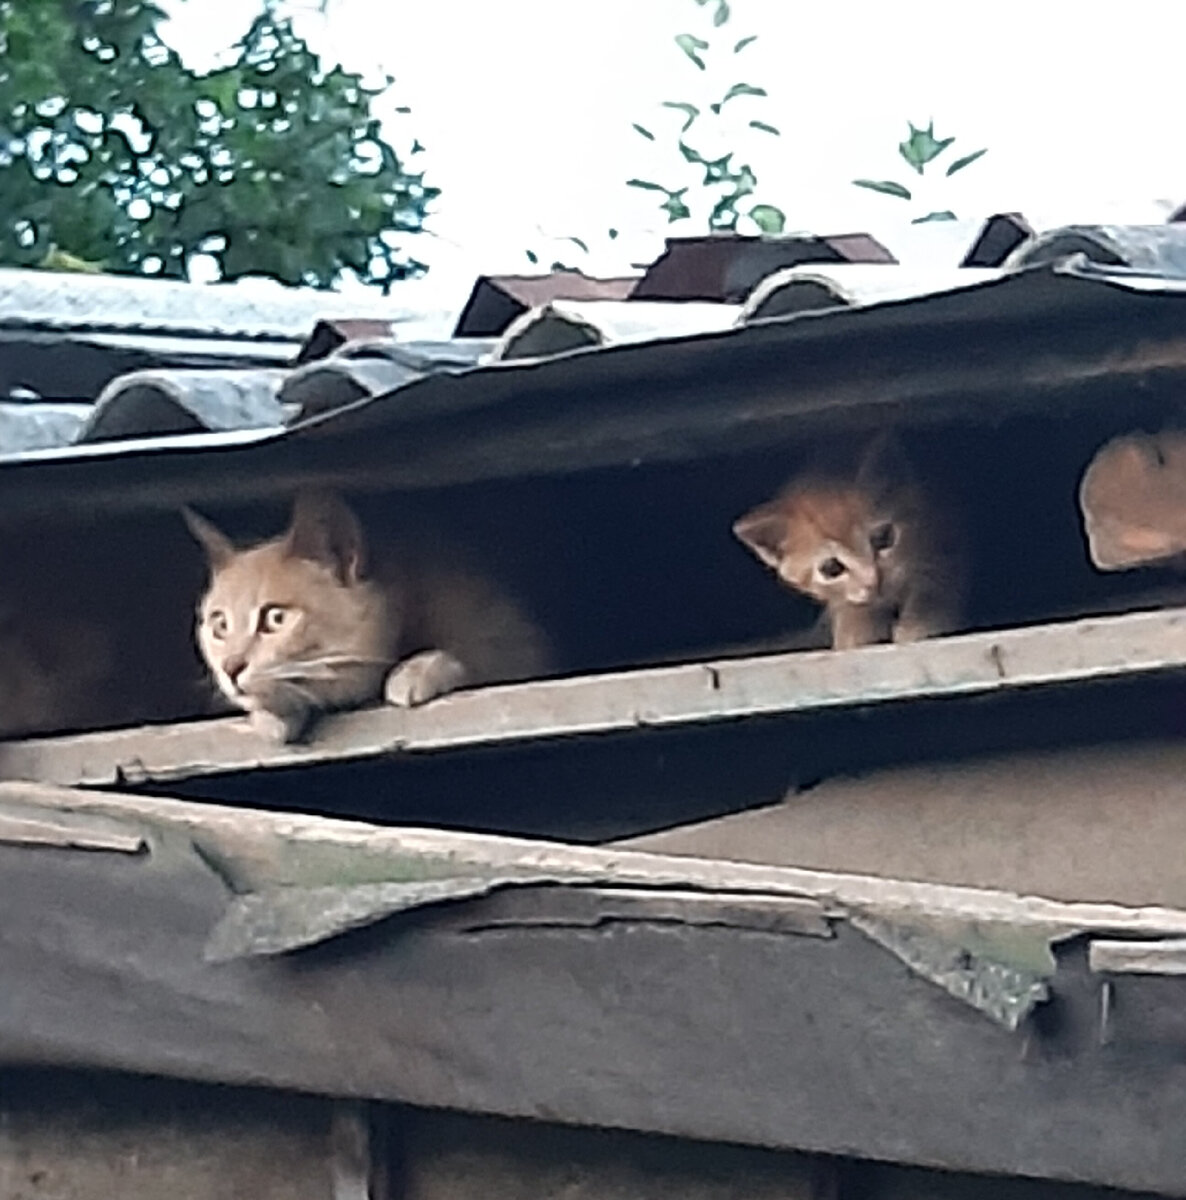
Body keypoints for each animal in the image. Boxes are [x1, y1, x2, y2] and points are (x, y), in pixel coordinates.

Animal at [729, 436, 965, 652]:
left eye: (883, 538)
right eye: (831, 568)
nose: (874, 581)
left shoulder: (947, 534)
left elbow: (937, 579)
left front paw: (921, 620)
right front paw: (855, 625)